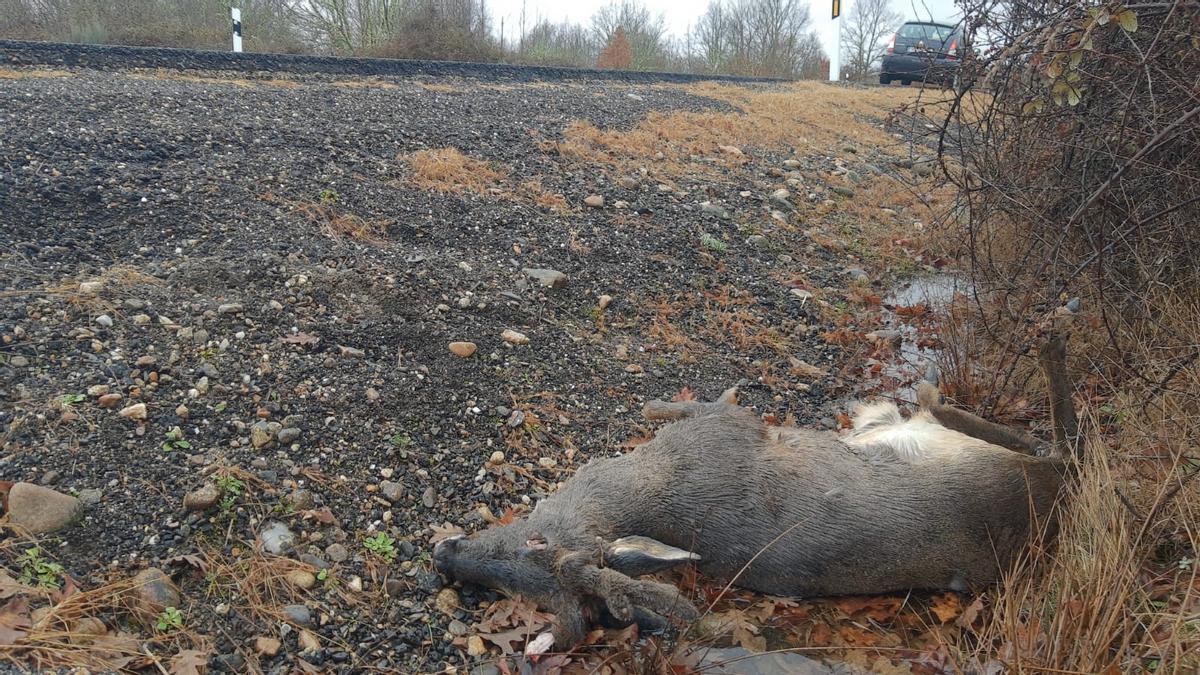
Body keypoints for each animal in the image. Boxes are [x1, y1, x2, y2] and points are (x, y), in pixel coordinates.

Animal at [434, 303, 1080, 653]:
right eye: (531, 598)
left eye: (536, 541)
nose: (444, 554)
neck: (651, 485)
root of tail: (1050, 506)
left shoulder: (724, 428)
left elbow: (676, 405)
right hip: (1013, 472)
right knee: (1045, 443)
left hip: (1018, 470)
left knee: (1061, 444)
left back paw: (1041, 339)